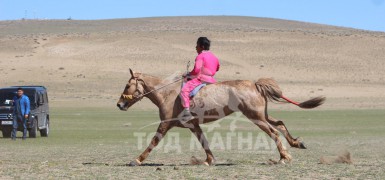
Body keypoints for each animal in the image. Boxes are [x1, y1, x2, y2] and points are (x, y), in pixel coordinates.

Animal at [115, 69, 324, 166]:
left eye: (127, 85)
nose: (119, 105)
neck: (167, 93)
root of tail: (255, 84)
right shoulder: (194, 125)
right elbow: (204, 142)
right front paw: (209, 160)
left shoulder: (165, 125)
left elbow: (153, 142)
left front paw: (136, 160)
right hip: (261, 115)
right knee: (279, 124)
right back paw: (296, 144)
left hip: (255, 117)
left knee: (273, 132)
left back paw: (284, 157)